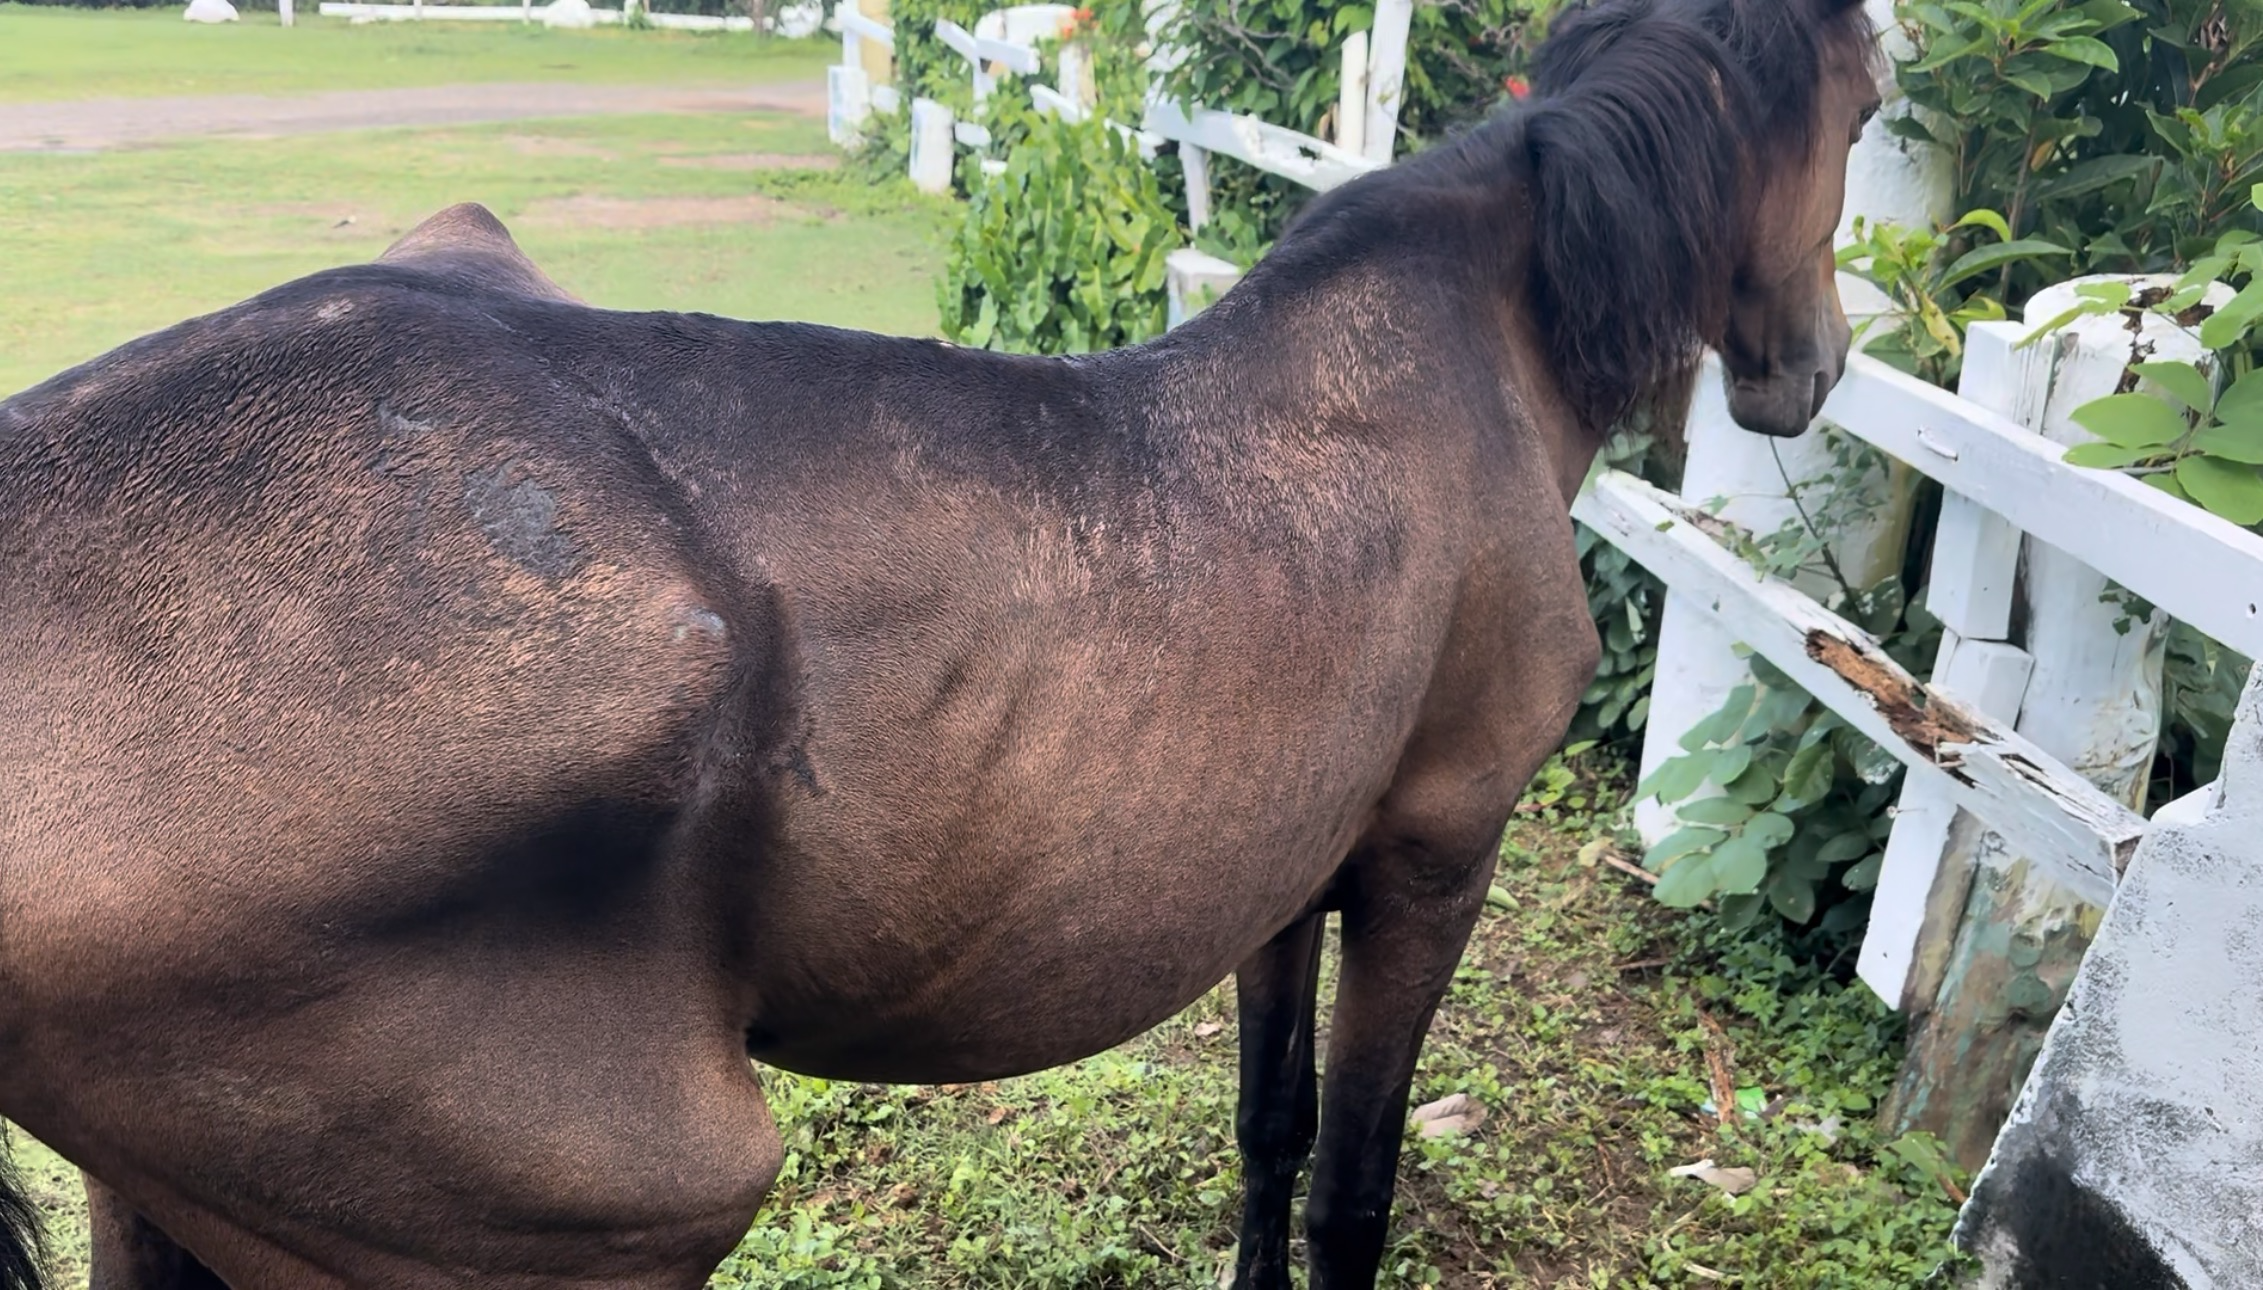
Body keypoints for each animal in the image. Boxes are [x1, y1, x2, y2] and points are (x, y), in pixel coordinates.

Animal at [0, 0, 1880, 1282]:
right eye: (1867, 102)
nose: (1811, 372)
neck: (1459, 355)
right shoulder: (1433, 859)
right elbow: (1353, 1188)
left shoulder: (1288, 872)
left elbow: (1267, 1133)